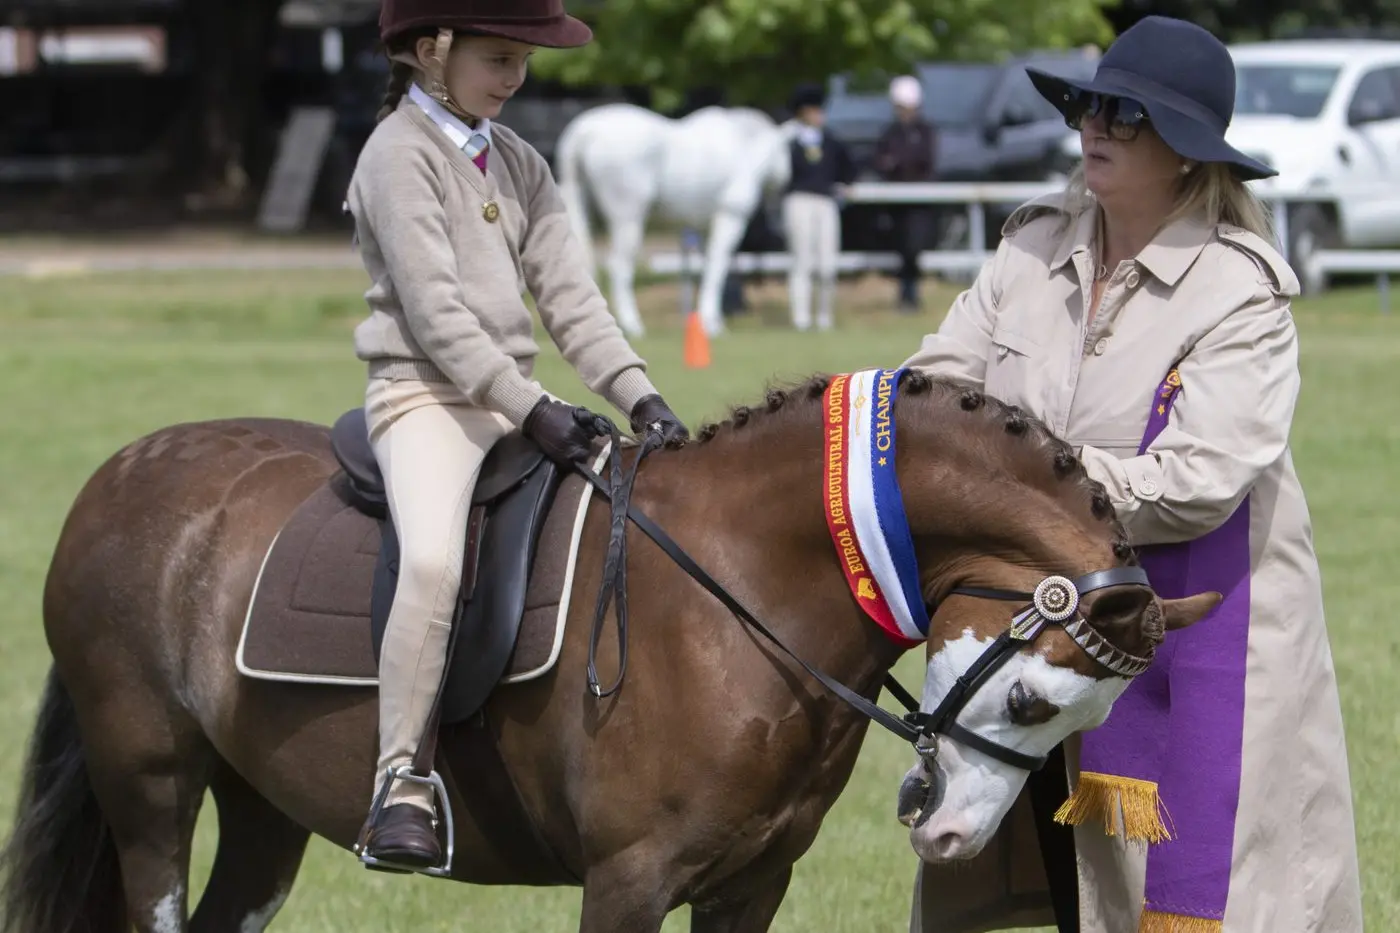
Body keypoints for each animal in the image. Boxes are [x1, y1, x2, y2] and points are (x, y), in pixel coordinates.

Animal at [0, 369, 1219, 933]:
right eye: (1031, 703)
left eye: (1080, 725)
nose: (954, 836)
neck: (742, 590)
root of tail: (122, 474)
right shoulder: (628, 878)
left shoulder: (751, 884)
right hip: (150, 785)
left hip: (261, 812)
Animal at [555, 103, 795, 338]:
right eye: (787, 151)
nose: (786, 178)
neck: (743, 148)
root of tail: (584, 131)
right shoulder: (730, 217)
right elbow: (717, 265)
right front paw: (712, 323)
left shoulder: (705, 226)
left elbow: (707, 266)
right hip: (628, 217)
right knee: (619, 266)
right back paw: (633, 325)